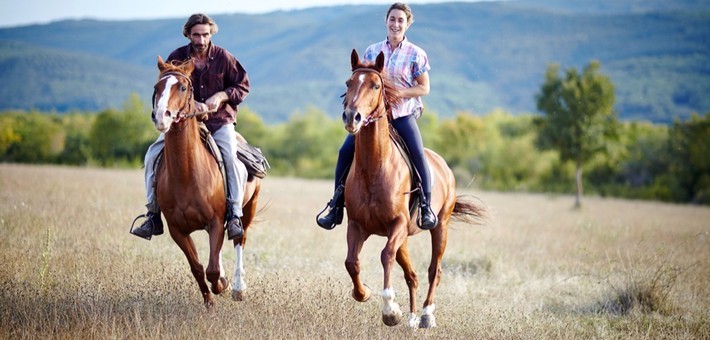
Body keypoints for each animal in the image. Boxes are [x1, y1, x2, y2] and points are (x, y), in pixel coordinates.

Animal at [153, 55, 262, 306]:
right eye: (156, 88)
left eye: (183, 87)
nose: (162, 116)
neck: (186, 176)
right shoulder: (177, 230)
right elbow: (198, 267)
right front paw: (209, 300)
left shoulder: (215, 221)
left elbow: (212, 270)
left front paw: (222, 285)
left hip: (248, 209)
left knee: (240, 240)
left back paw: (238, 288)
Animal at [342, 49, 486, 328]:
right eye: (348, 83)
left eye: (376, 85)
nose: (352, 117)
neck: (374, 168)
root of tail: (444, 167)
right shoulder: (357, 225)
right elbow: (352, 262)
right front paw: (364, 293)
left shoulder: (396, 224)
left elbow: (385, 255)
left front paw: (390, 310)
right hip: (405, 238)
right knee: (413, 275)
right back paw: (411, 318)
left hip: (440, 228)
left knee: (433, 271)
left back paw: (426, 315)